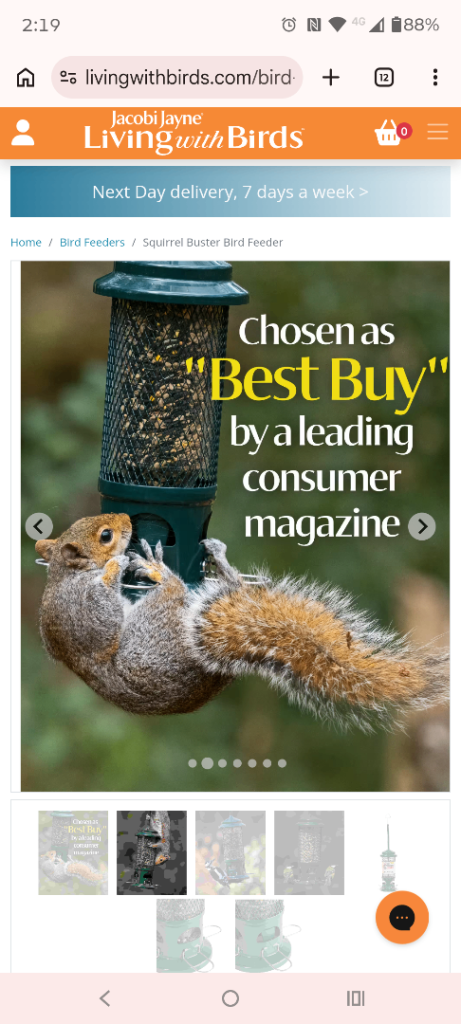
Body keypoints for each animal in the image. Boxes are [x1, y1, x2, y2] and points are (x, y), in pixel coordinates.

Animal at [35, 513, 449, 732]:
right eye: (105, 536)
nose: (124, 520)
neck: (62, 576)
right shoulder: (81, 611)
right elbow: (102, 623)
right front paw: (113, 567)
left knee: (238, 589)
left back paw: (220, 563)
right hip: (157, 625)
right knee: (180, 592)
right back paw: (163, 571)